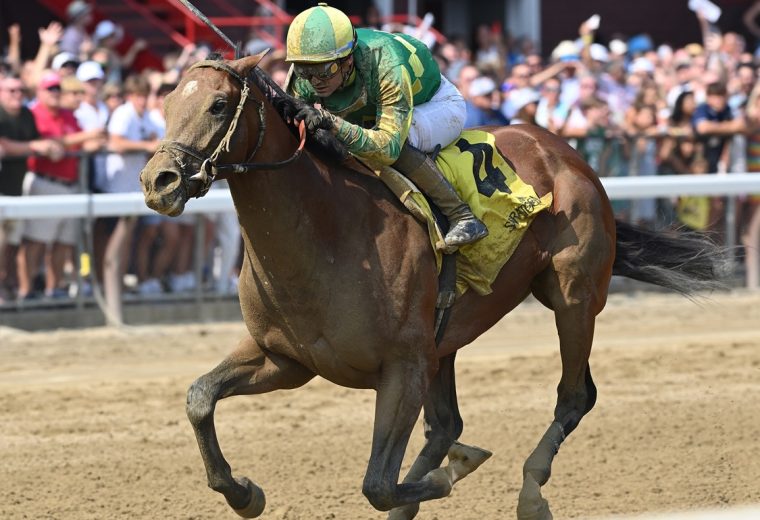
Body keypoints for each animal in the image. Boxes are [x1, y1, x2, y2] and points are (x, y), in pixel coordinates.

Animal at [138, 53, 724, 520]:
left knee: (574, 395)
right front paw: (244, 493)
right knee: (446, 425)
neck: (325, 230)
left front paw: (449, 473)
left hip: (572, 296)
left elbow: (378, 483)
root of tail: (566, 151)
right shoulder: (285, 358)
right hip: (446, 339)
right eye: (165, 103)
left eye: (218, 105)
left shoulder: (403, 365)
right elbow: (199, 398)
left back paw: (529, 490)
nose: (158, 181)